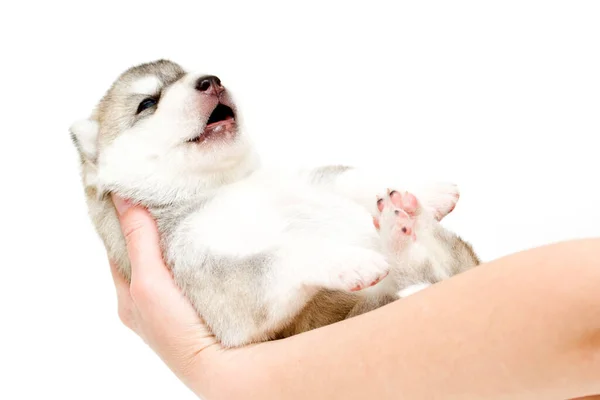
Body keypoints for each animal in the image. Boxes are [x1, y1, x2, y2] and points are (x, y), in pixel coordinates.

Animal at [69, 59, 478, 346]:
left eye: (189, 73)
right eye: (147, 103)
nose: (210, 80)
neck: (222, 184)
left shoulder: (306, 177)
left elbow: (347, 176)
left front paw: (430, 190)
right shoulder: (206, 274)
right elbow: (279, 257)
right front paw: (347, 260)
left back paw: (410, 219)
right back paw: (399, 235)